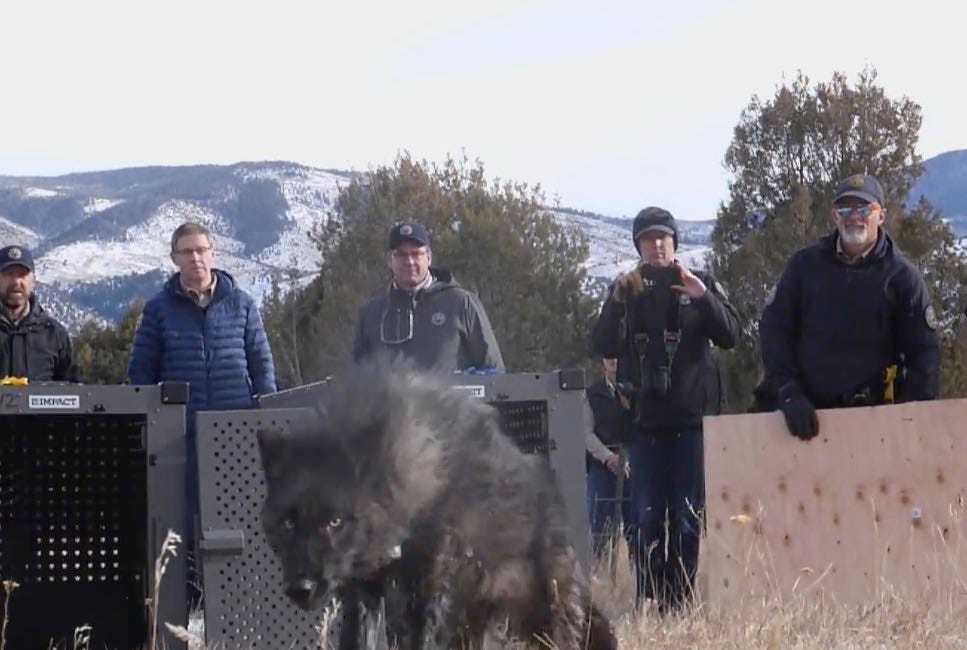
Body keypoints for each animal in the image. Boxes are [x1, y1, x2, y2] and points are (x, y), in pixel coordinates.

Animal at [257, 356, 617, 650]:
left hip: (546, 613)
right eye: (287, 523)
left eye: (335, 522)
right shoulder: (363, 591)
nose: (300, 588)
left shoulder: (430, 593)